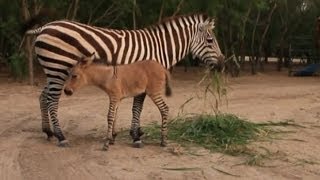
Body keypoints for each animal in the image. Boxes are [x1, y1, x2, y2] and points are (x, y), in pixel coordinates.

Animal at [24, 13, 225, 147]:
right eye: (210, 40)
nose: (222, 64)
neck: (160, 48)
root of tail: (45, 27)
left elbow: (133, 108)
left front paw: (130, 133)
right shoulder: (143, 80)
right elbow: (137, 108)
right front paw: (135, 136)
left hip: (54, 70)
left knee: (43, 97)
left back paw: (48, 132)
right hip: (58, 68)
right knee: (52, 100)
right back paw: (61, 136)